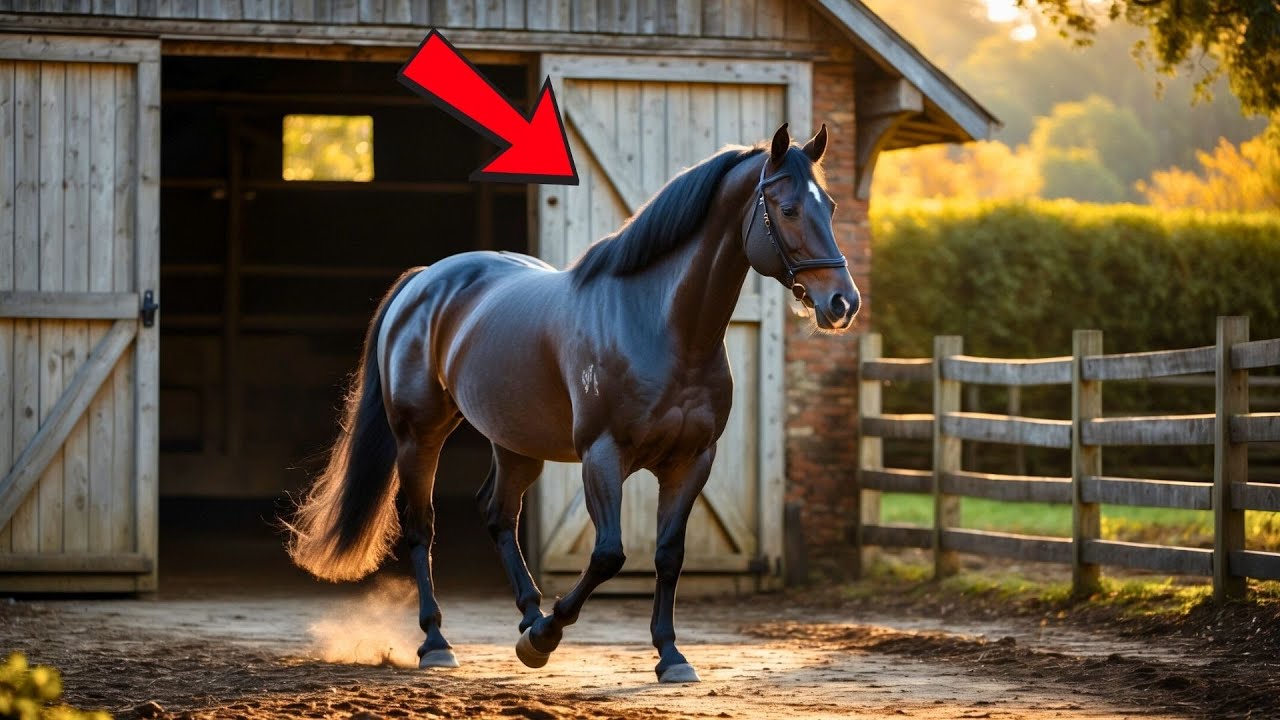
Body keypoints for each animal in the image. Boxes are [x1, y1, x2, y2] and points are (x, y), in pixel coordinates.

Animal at [287, 123, 860, 684]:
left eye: (830, 206)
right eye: (788, 209)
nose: (843, 303)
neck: (659, 324)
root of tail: (425, 280)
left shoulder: (692, 461)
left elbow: (668, 555)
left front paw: (670, 655)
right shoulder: (602, 456)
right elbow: (608, 554)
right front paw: (544, 640)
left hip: (516, 442)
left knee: (497, 513)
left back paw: (527, 612)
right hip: (419, 434)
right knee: (420, 525)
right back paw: (438, 643)